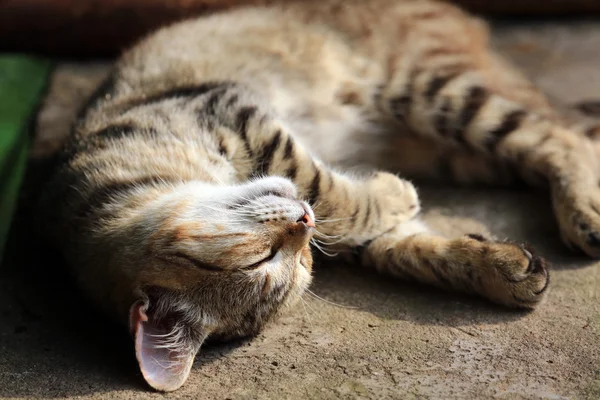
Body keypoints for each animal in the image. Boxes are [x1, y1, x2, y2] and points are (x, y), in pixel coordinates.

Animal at [38, 0, 600, 392]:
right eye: (275, 260)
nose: (303, 225)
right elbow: (407, 244)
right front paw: (498, 267)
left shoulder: (233, 108)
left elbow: (316, 181)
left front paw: (385, 193)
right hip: (455, 152)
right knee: (557, 141)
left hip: (434, 92)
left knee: (562, 136)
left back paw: (584, 213)